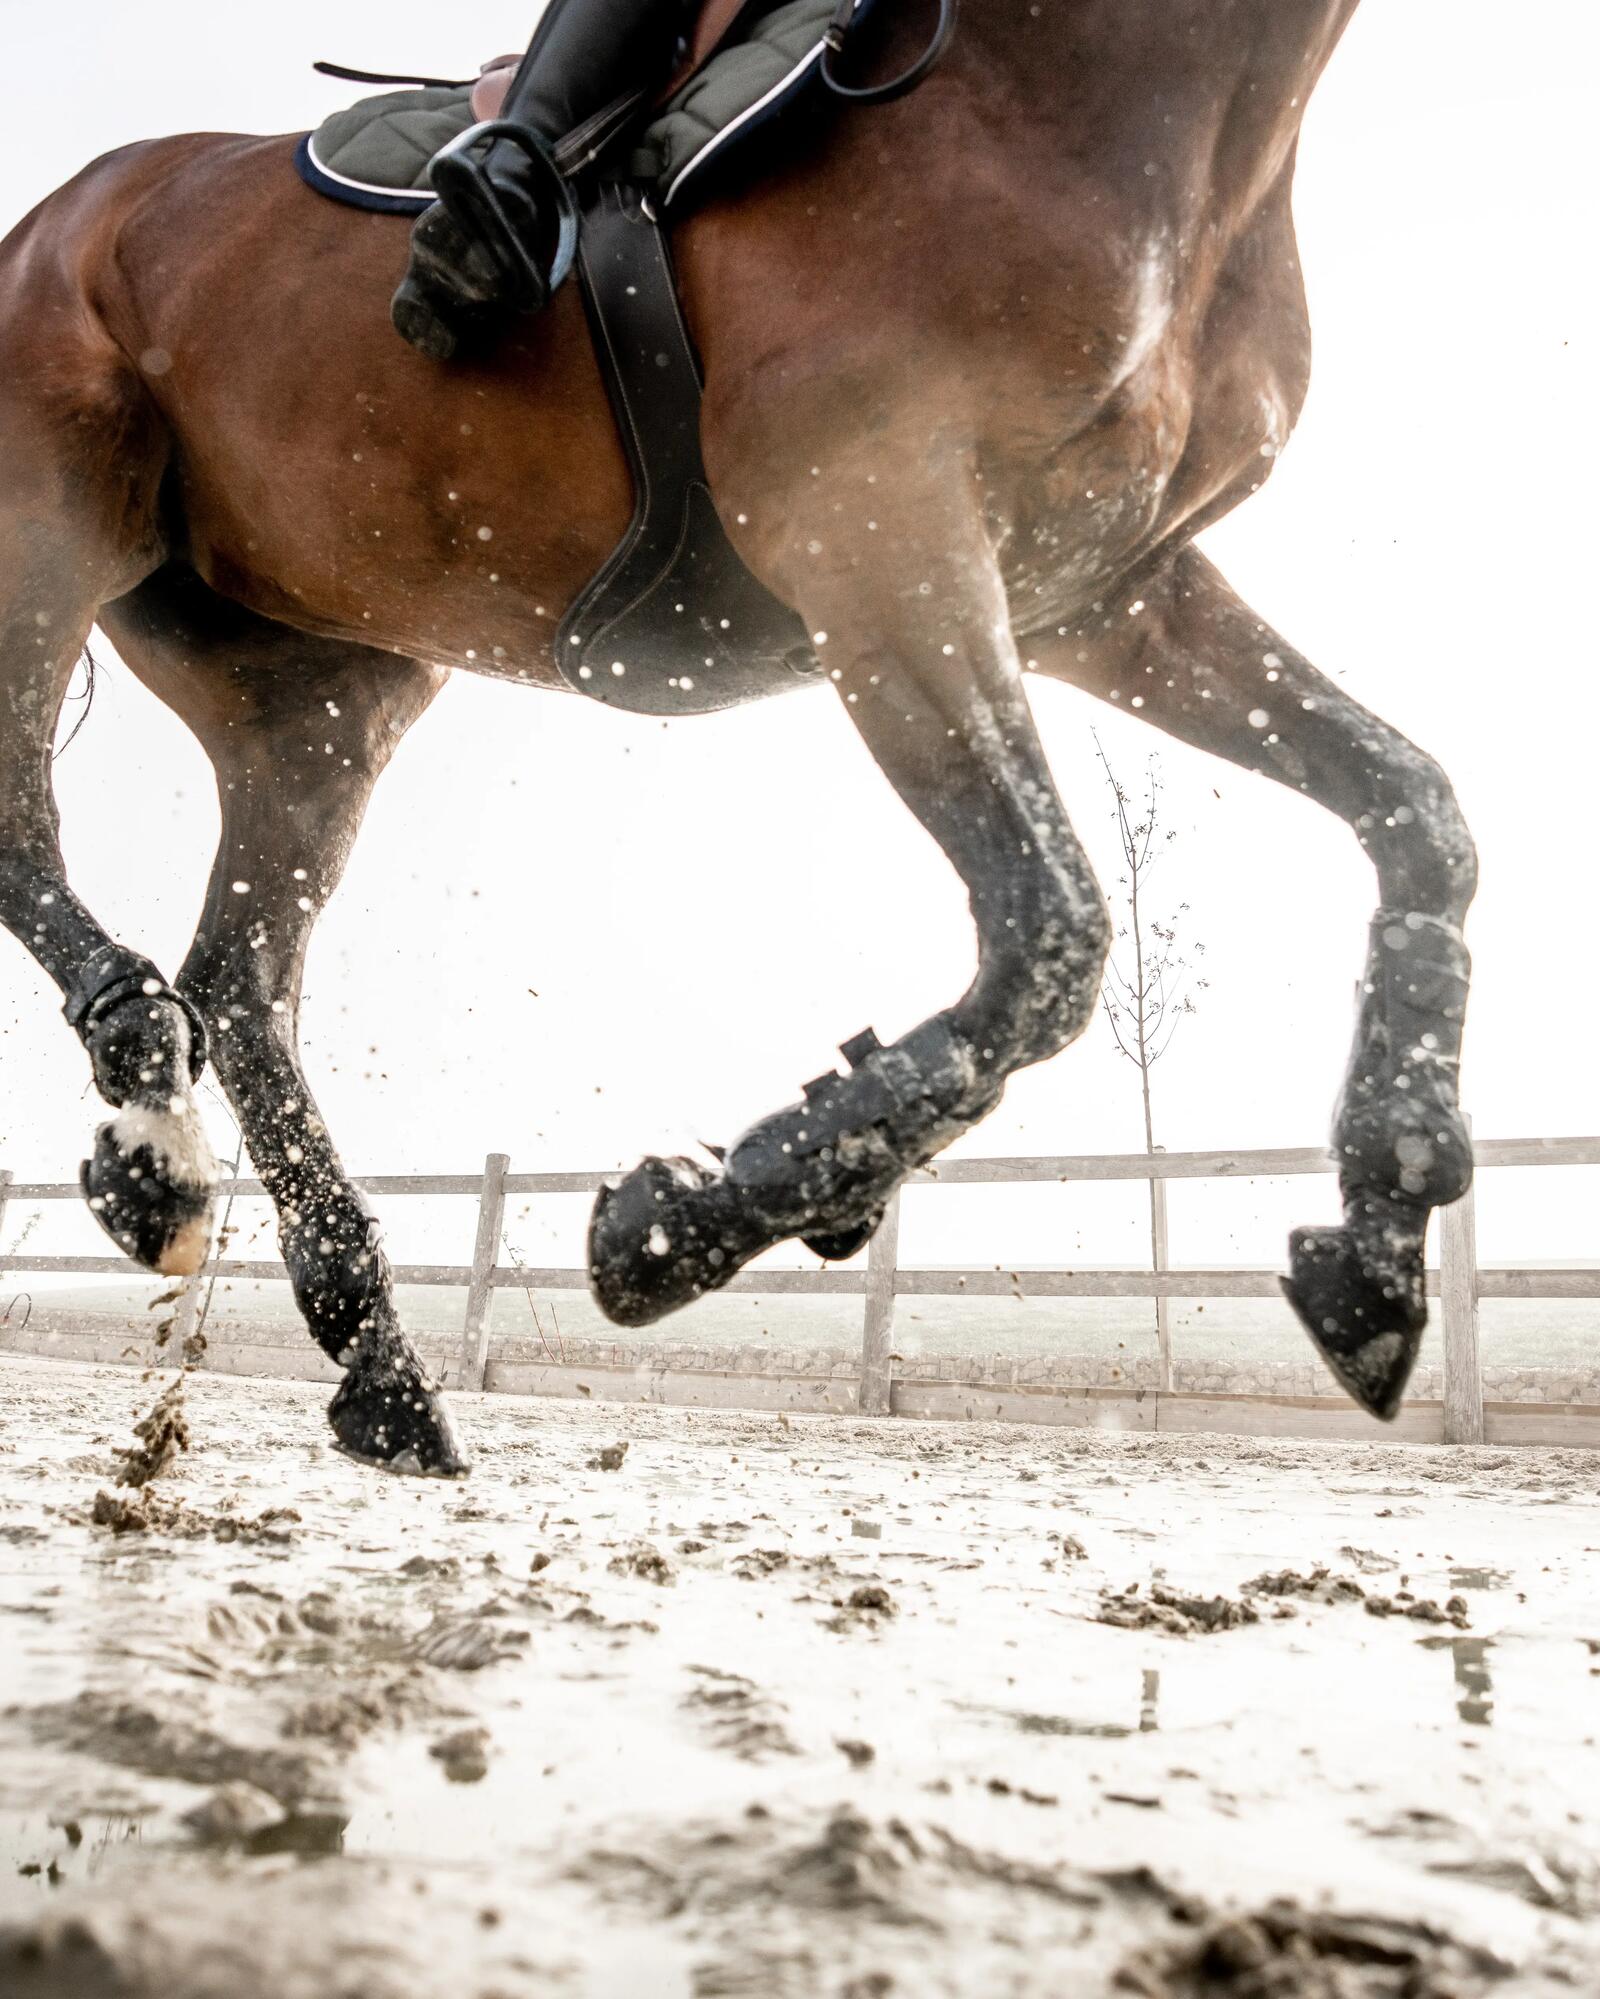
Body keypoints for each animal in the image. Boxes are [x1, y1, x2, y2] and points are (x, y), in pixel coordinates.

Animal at [0, 0, 1475, 1476]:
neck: (1086, 104)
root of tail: (60, 217)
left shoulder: (1106, 594)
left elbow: (1417, 814)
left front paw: (1382, 1233)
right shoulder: (882, 539)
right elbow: (1051, 936)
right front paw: (676, 1225)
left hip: (322, 698)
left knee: (243, 978)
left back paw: (371, 1358)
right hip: (57, 531)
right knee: (34, 844)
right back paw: (151, 1118)